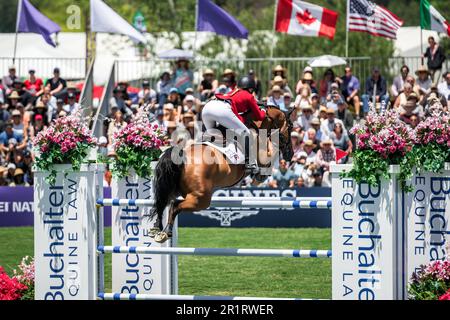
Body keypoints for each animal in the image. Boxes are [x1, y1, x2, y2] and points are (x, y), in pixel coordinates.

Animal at [149, 105, 290, 242]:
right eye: (289, 126)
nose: (289, 152)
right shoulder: (262, 155)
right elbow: (272, 151)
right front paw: (260, 175)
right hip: (200, 199)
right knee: (174, 205)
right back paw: (166, 232)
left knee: (163, 202)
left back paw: (157, 228)